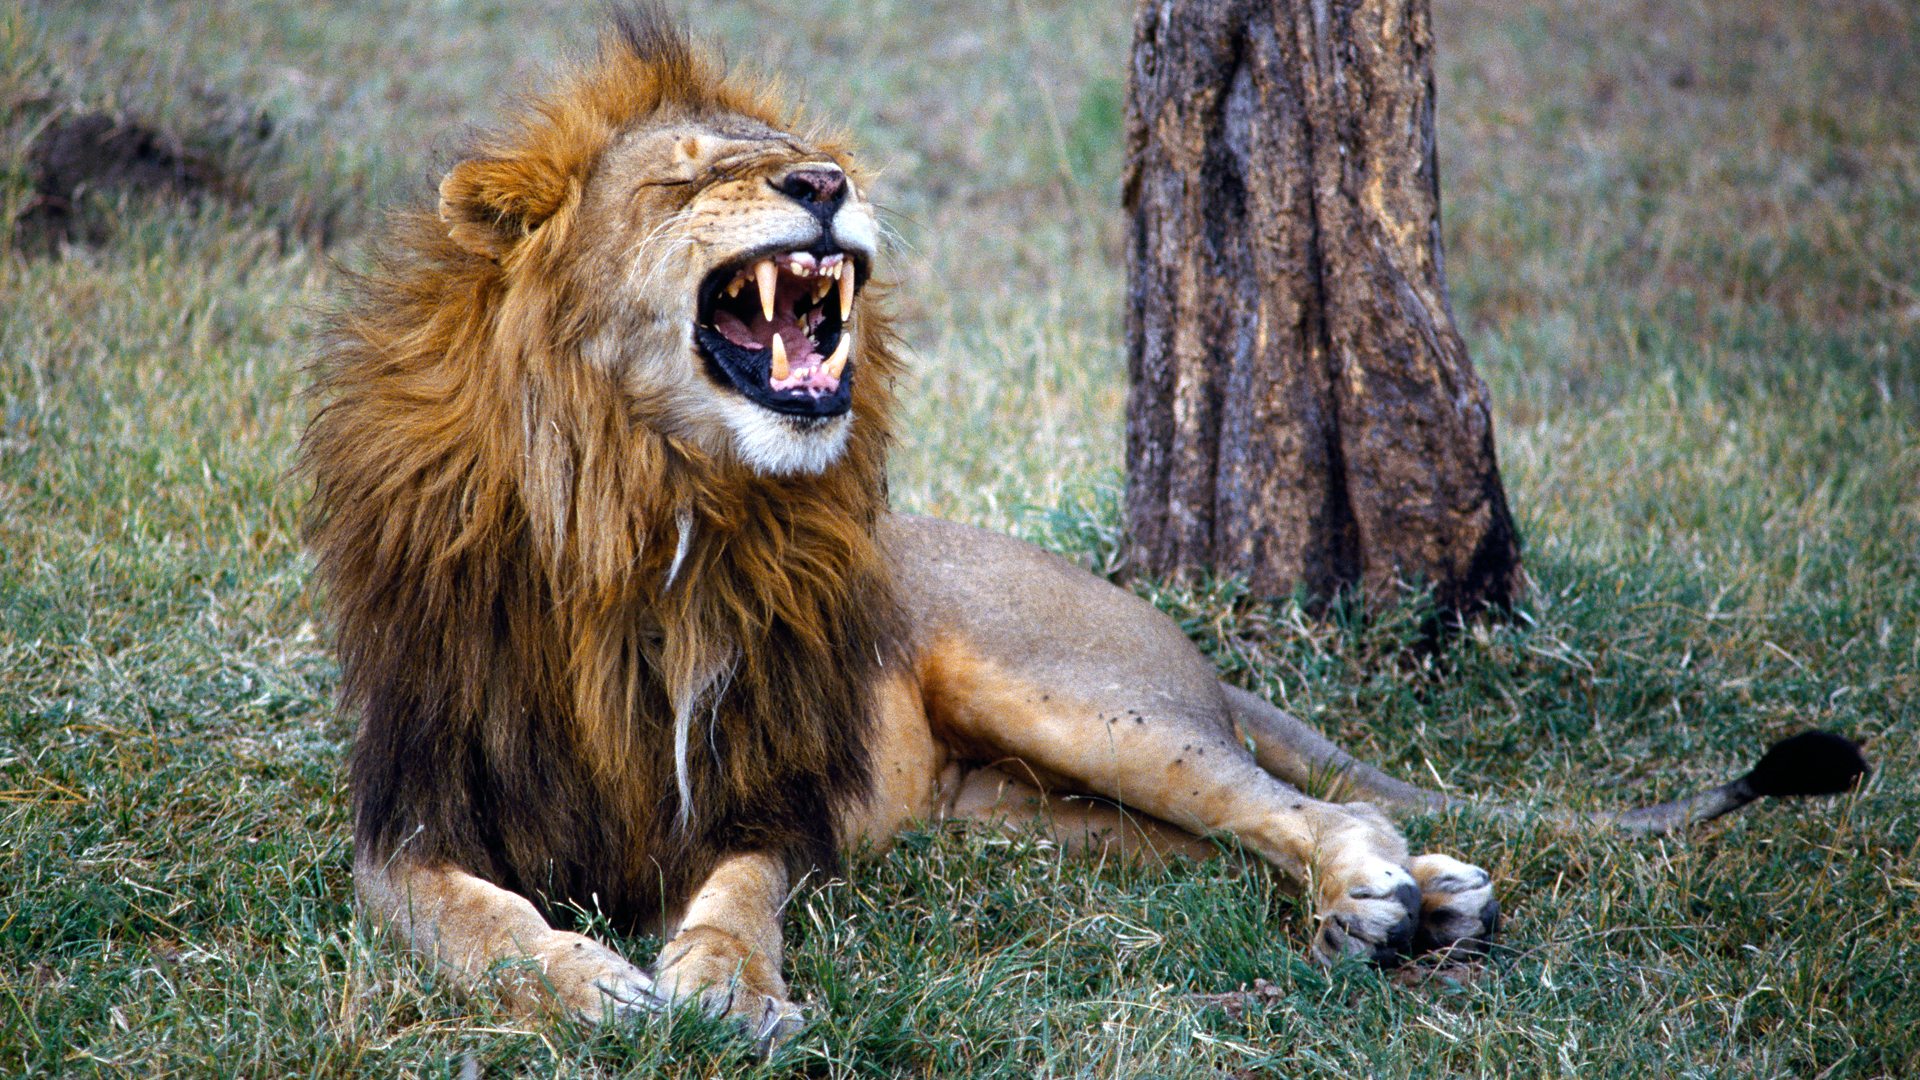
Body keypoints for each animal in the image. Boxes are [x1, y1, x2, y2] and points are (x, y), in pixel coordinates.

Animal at [301, 4, 1868, 1047]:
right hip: (1044, 819)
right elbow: (482, 922)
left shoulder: (771, 797)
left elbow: (735, 893)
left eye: (797, 156)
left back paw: (1382, 897)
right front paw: (589, 982)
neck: (649, 506)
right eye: (690, 176)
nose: (828, 184)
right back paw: (1428, 901)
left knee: (1309, 806)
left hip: (1080, 702)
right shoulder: (411, 818)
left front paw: (726, 989)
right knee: (1241, 843)